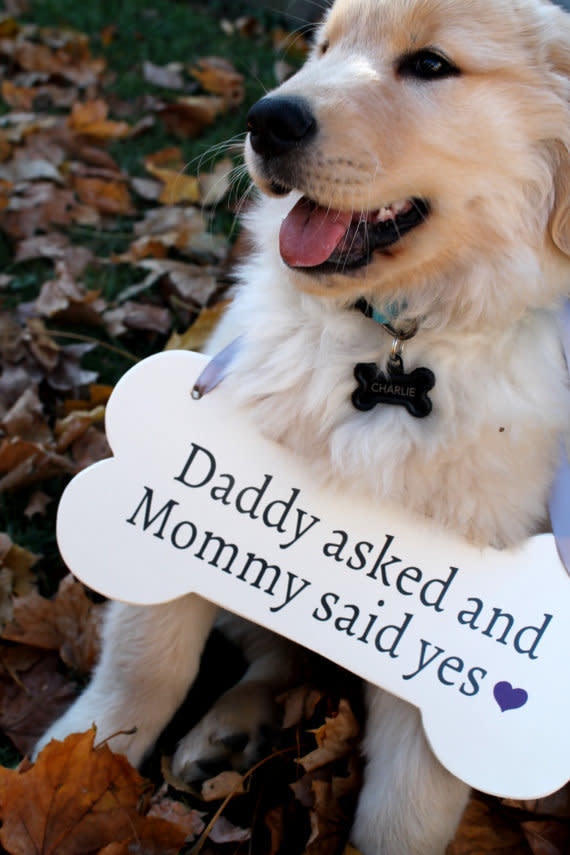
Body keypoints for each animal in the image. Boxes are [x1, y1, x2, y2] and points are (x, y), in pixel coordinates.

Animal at [37, 1, 564, 855]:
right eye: (323, 48)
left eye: (431, 65)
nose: (266, 120)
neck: (389, 347)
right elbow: (147, 659)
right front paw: (75, 759)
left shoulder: (449, 628)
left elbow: (408, 803)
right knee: (272, 655)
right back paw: (228, 732)